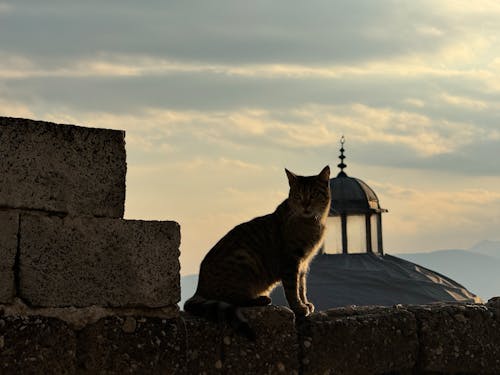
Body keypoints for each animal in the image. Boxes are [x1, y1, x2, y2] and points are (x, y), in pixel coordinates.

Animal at [185, 166, 332, 340]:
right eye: (298, 195)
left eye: (314, 194)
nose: (305, 205)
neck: (312, 223)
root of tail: (199, 288)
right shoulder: (291, 260)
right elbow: (292, 289)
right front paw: (298, 307)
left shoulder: (303, 262)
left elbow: (302, 286)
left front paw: (305, 303)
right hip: (244, 259)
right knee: (231, 300)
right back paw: (261, 299)